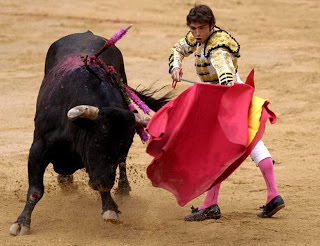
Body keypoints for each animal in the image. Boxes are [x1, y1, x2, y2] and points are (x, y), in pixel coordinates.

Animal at [9, 31, 170, 236]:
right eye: (97, 142)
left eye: (122, 148)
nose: (104, 183)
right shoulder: (38, 149)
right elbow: (36, 189)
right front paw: (22, 222)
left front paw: (110, 208)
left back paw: (123, 188)